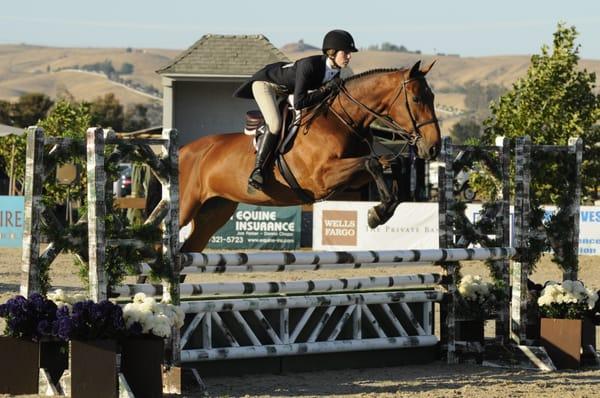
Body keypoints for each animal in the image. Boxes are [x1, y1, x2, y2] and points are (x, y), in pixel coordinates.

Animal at [166, 59, 438, 252]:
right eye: (416, 98)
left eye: (432, 97)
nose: (433, 147)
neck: (343, 119)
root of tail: (184, 149)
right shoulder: (322, 178)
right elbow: (372, 162)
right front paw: (377, 213)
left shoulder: (350, 179)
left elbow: (390, 162)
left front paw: (384, 208)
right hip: (186, 206)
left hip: (214, 211)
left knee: (188, 250)